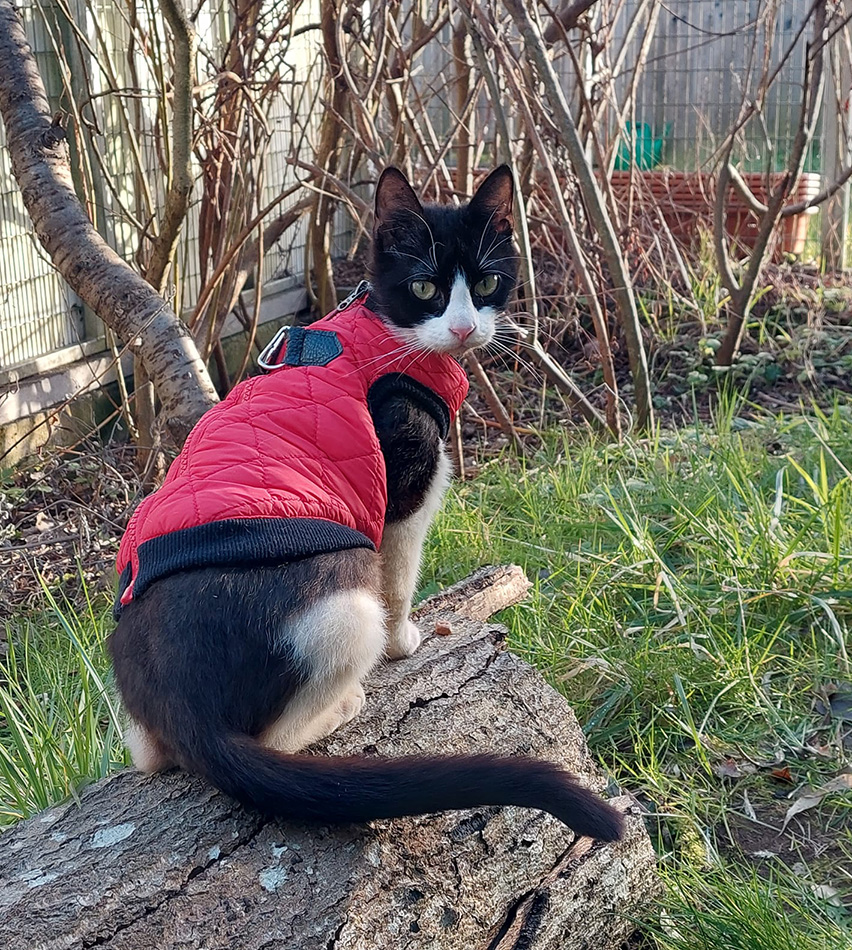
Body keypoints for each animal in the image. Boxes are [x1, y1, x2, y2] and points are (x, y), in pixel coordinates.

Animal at [108, 167, 624, 844]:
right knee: (287, 725)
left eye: (487, 282)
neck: (385, 336)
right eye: (425, 287)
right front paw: (406, 642)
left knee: (149, 754)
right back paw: (347, 700)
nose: (465, 328)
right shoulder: (405, 481)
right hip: (340, 603)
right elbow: (399, 575)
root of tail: (185, 708)